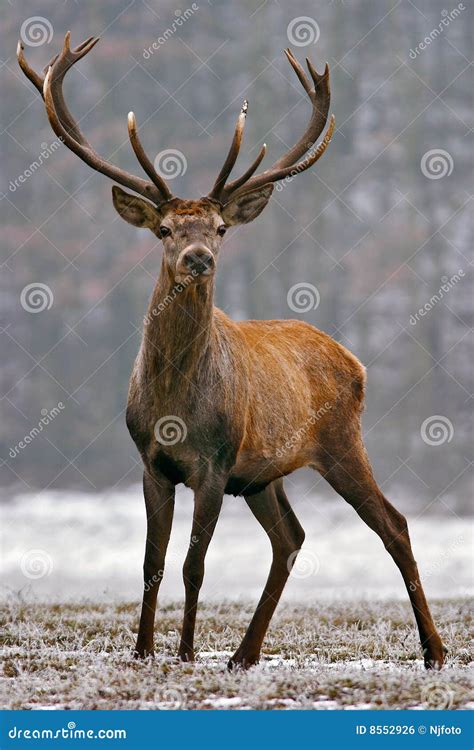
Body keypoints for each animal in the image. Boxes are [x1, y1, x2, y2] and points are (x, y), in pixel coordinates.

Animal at [16, 32, 446, 672]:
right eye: (165, 229)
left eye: (220, 228)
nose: (198, 258)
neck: (173, 405)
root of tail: (356, 362)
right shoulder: (151, 463)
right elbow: (151, 563)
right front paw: (143, 652)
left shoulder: (215, 464)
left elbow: (194, 565)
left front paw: (186, 651)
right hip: (264, 475)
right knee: (290, 538)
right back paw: (244, 654)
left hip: (341, 440)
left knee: (393, 525)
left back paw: (434, 651)